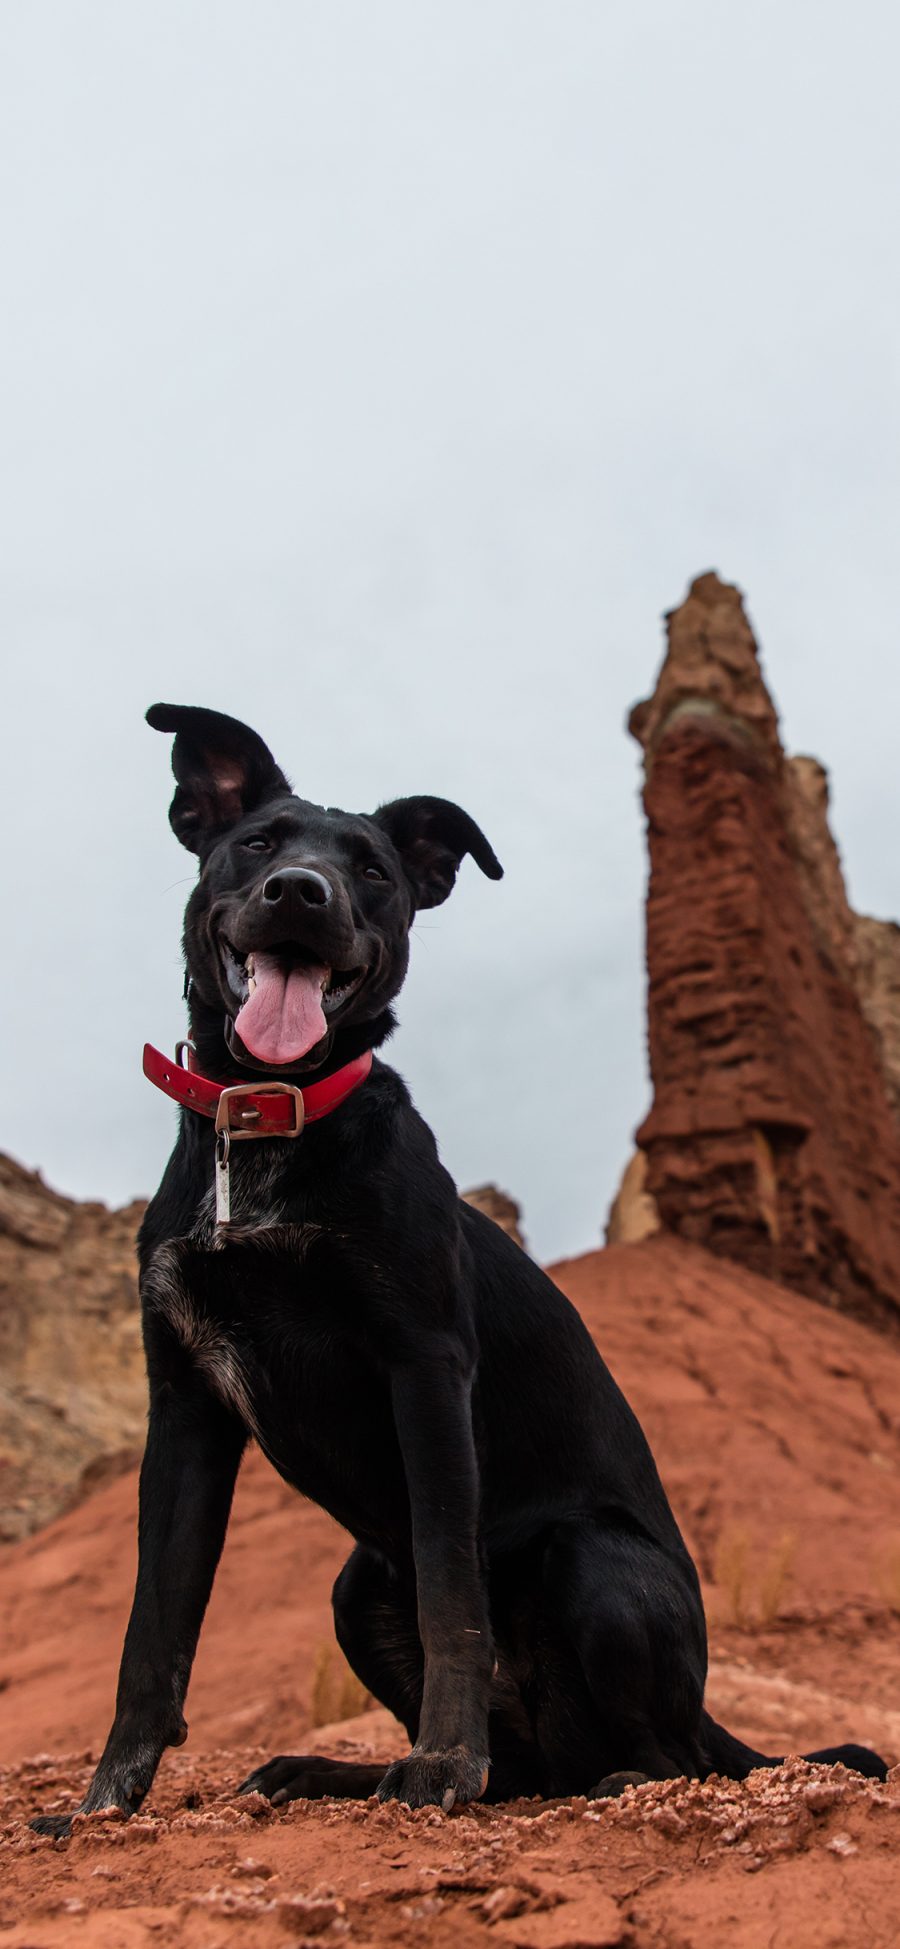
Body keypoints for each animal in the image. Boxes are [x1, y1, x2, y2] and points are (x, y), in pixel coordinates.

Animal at [31, 709, 880, 1832]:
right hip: (356, 1586)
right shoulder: (184, 1405)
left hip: (590, 1559)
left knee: (666, 1753)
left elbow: (450, 1595)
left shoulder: (424, 1364)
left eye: (374, 870)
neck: (272, 1123)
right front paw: (102, 1803)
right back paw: (326, 1771)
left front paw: (438, 1764)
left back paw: (609, 1777)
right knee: (525, 1768)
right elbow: (152, 1632)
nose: (301, 893)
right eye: (258, 843)